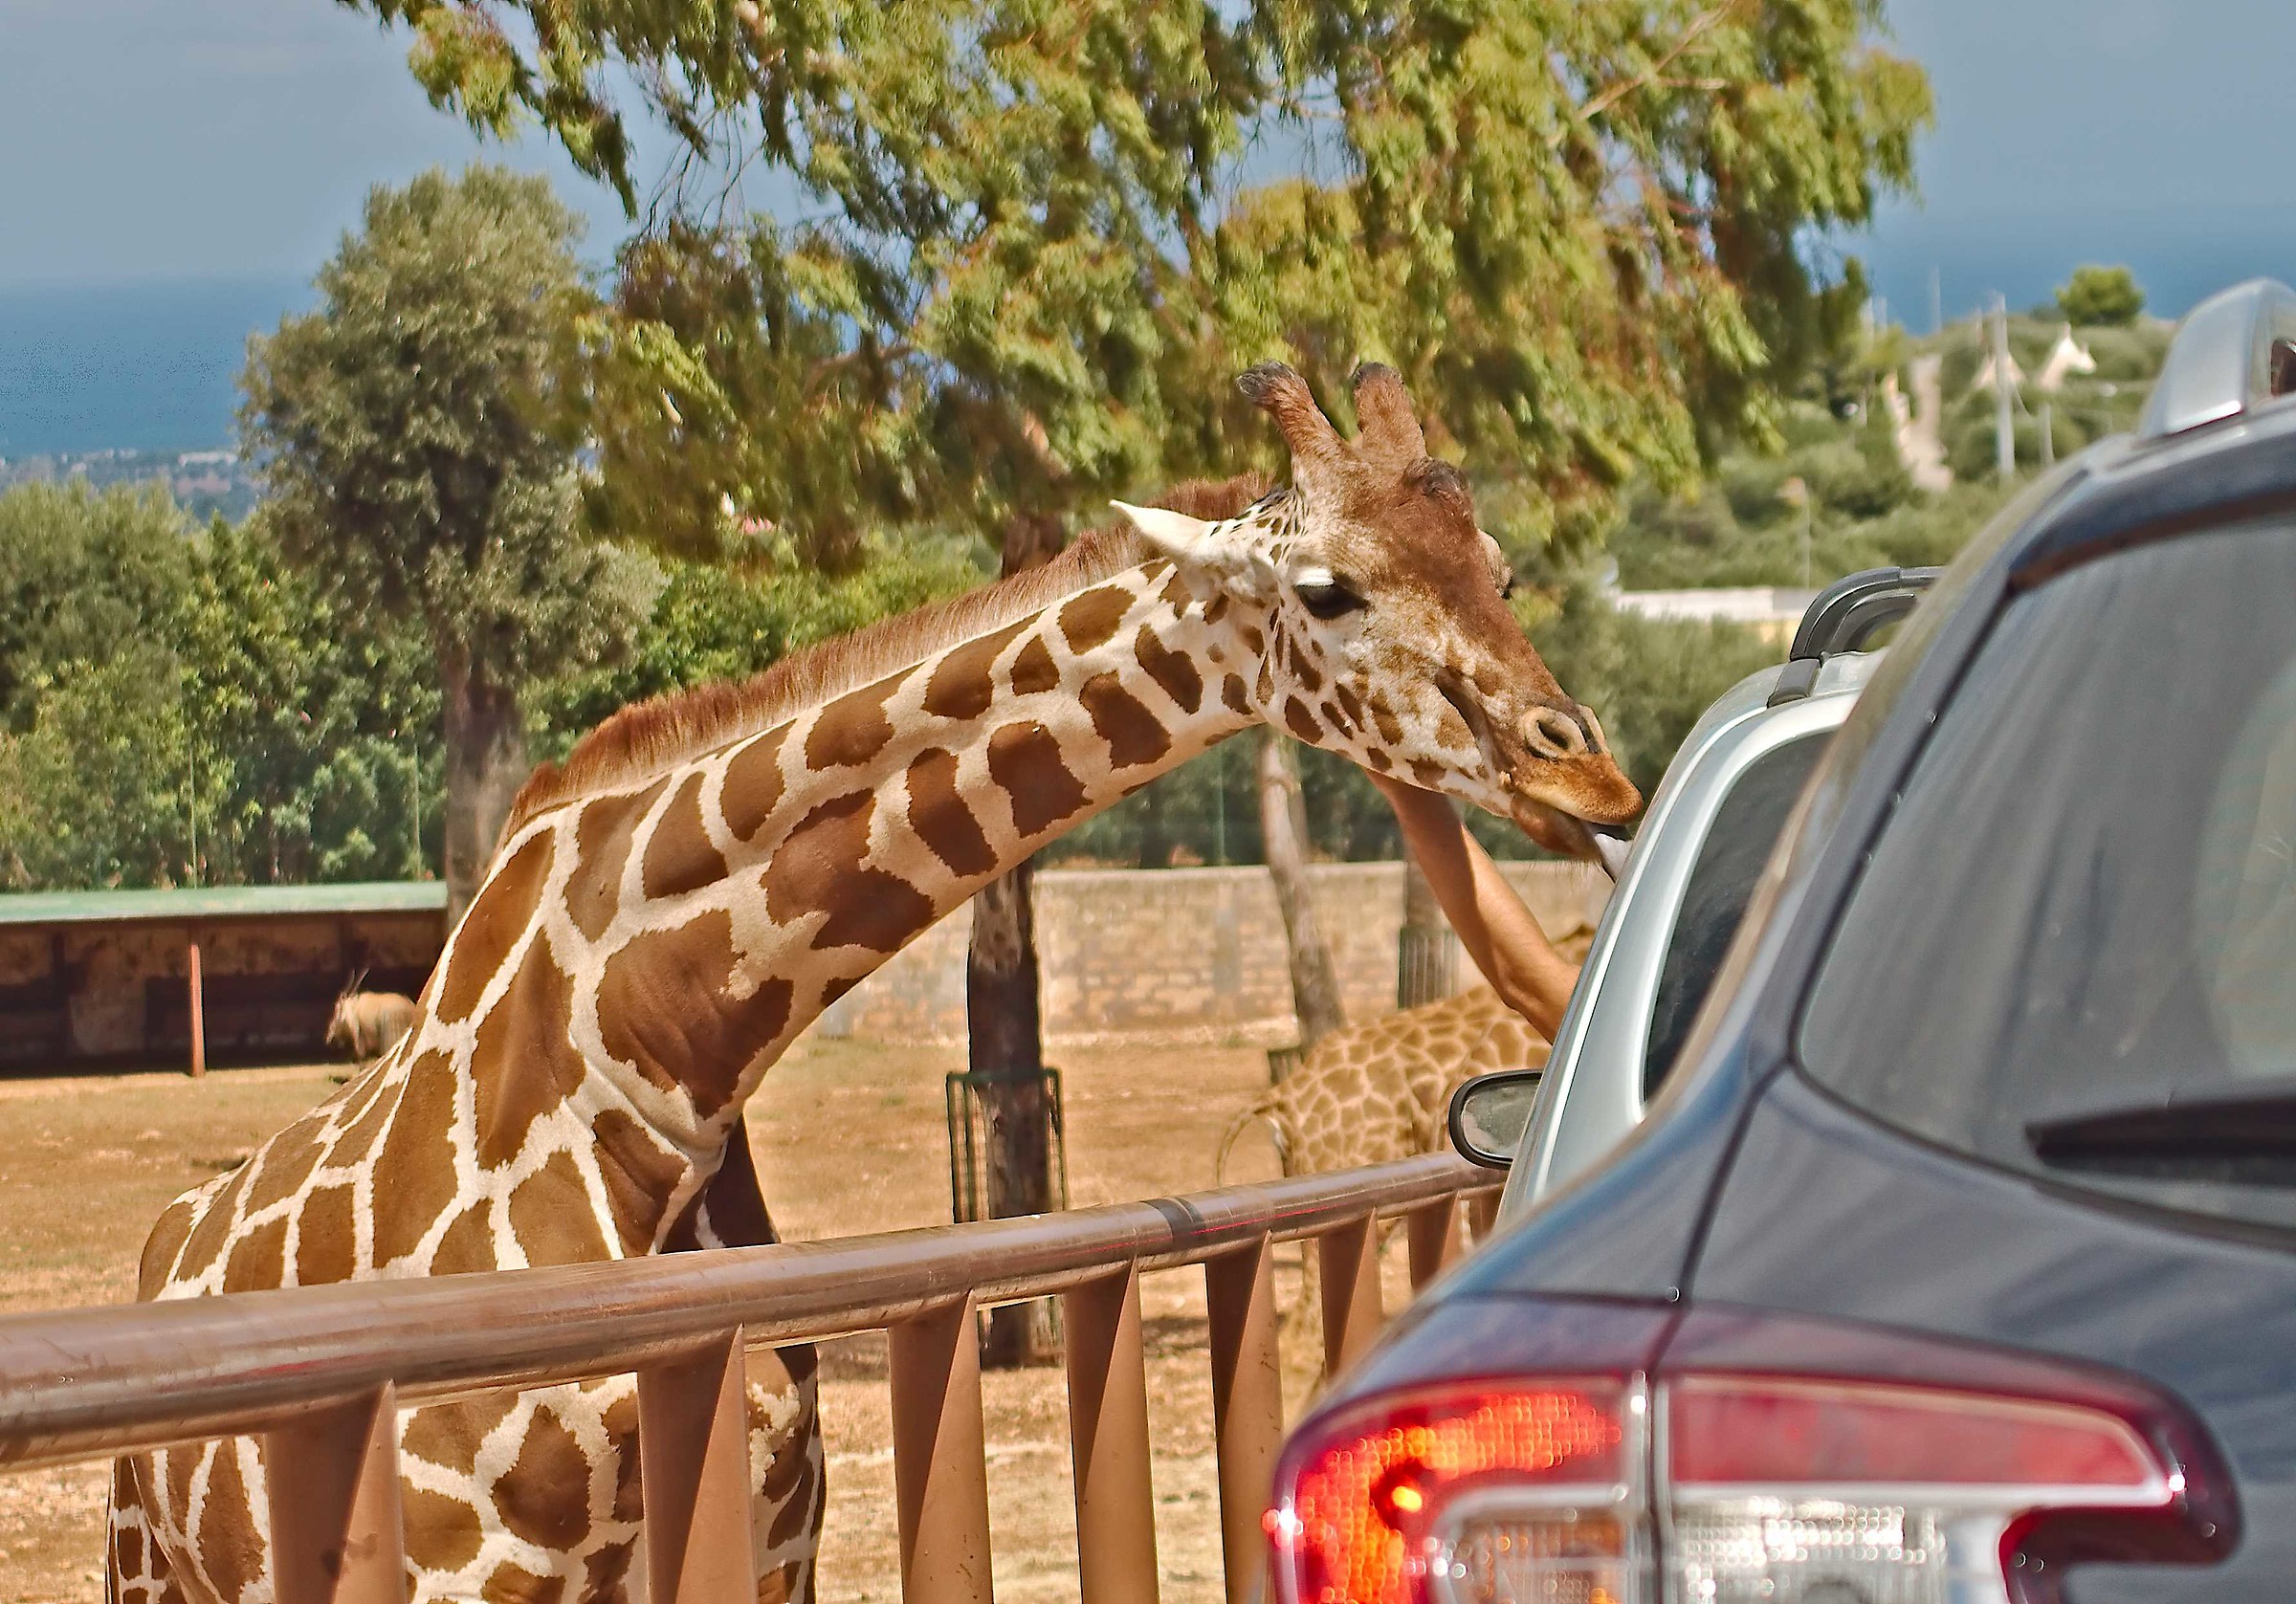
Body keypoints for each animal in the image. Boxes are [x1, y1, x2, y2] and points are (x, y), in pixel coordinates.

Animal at [108, 361, 1642, 1604]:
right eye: (1328, 589)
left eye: (1499, 568)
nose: (1591, 775)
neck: (645, 1071)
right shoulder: (459, 1573)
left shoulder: (763, 1542)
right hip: (152, 1565)